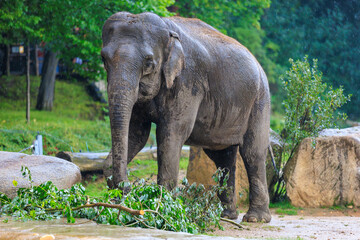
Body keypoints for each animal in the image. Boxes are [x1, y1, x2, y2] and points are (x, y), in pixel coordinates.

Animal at [101, 11, 270, 223]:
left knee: (252, 153)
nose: (127, 187)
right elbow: (136, 134)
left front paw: (163, 211)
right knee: (222, 157)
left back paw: (255, 218)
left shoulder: (188, 81)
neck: (167, 30)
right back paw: (227, 215)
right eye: (103, 59)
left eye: (149, 63)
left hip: (260, 101)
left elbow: (172, 132)